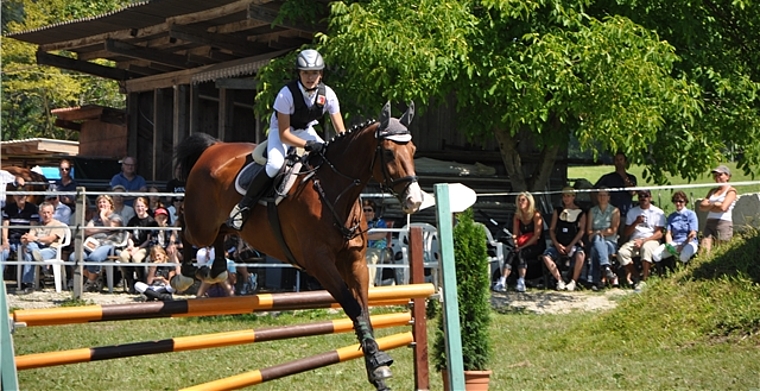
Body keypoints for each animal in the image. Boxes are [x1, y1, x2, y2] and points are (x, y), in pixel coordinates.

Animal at [172, 101, 422, 388]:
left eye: (413, 151)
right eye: (389, 153)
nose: (415, 200)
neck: (334, 191)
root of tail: (213, 148)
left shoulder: (355, 261)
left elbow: (363, 309)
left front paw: (376, 370)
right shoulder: (319, 263)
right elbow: (352, 306)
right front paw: (376, 362)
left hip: (220, 224)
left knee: (221, 233)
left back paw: (218, 269)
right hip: (201, 223)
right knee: (187, 229)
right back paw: (186, 273)